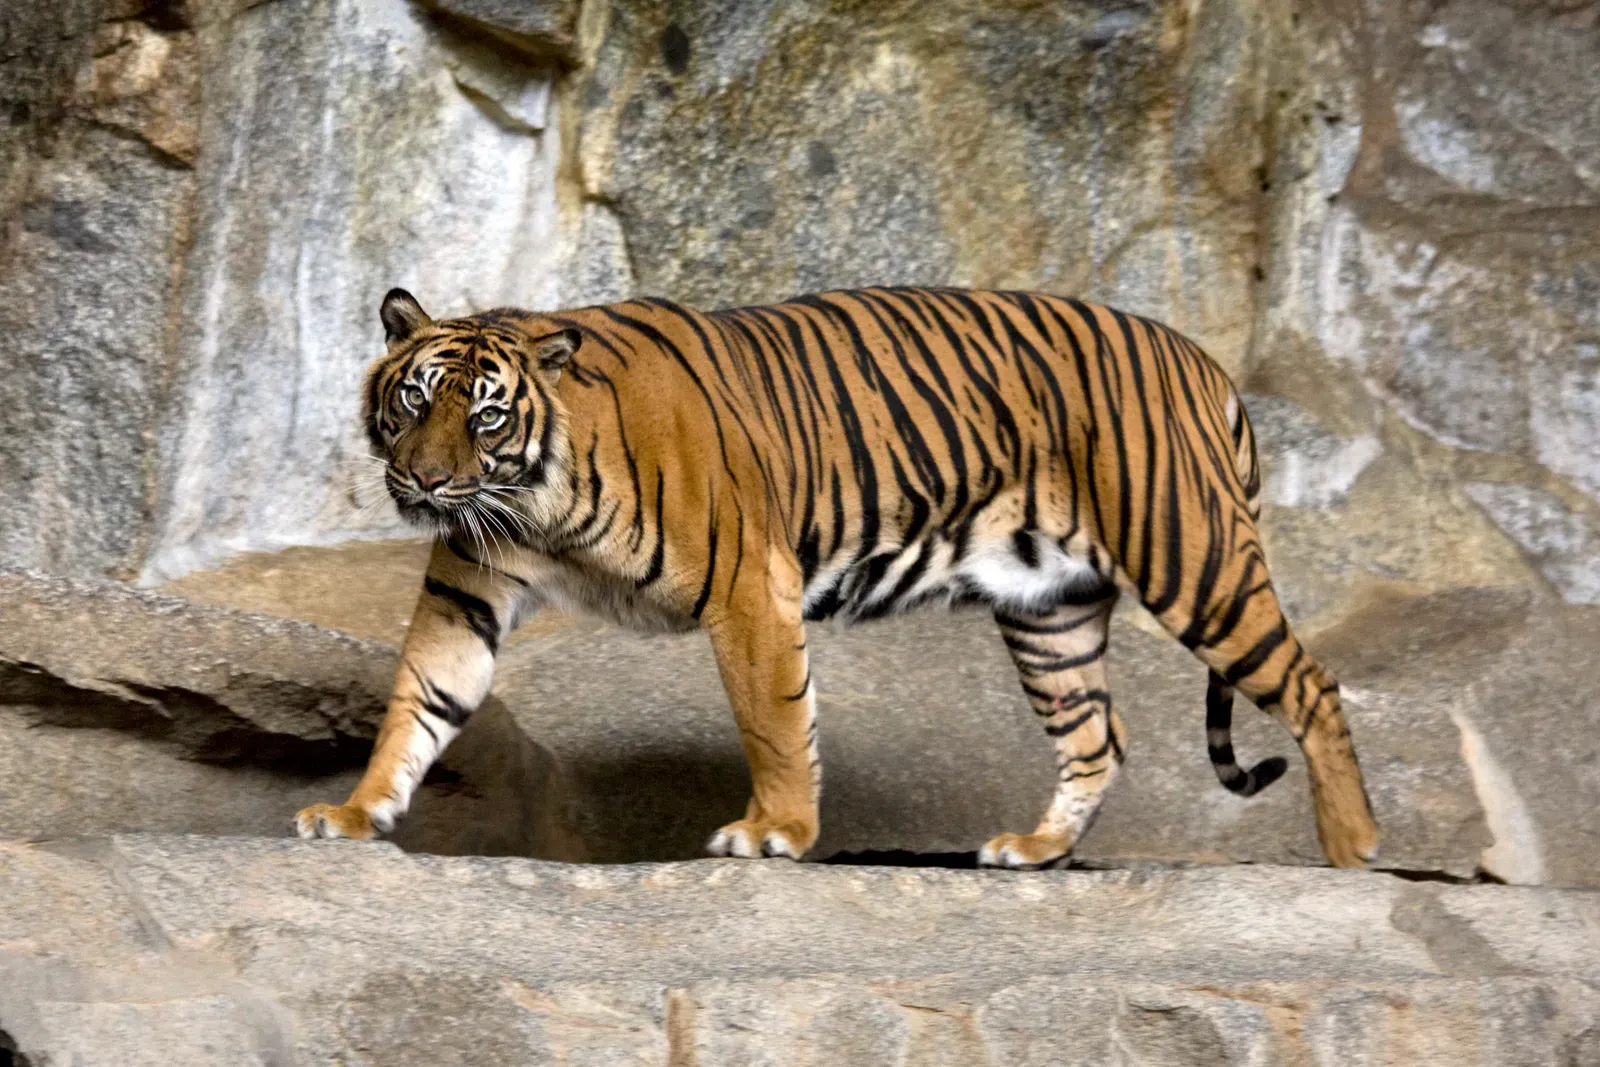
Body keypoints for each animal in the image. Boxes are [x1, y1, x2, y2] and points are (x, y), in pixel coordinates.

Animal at [294, 285, 1380, 870]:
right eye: (413, 400)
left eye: (484, 415)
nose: (426, 481)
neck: (534, 501)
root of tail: (1202, 359)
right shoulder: (466, 592)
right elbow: (418, 703)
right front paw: (354, 812)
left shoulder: (748, 582)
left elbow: (773, 719)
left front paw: (775, 829)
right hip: (1051, 609)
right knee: (1095, 737)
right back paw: (1034, 851)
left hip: (1191, 557)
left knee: (1312, 684)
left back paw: (1353, 848)